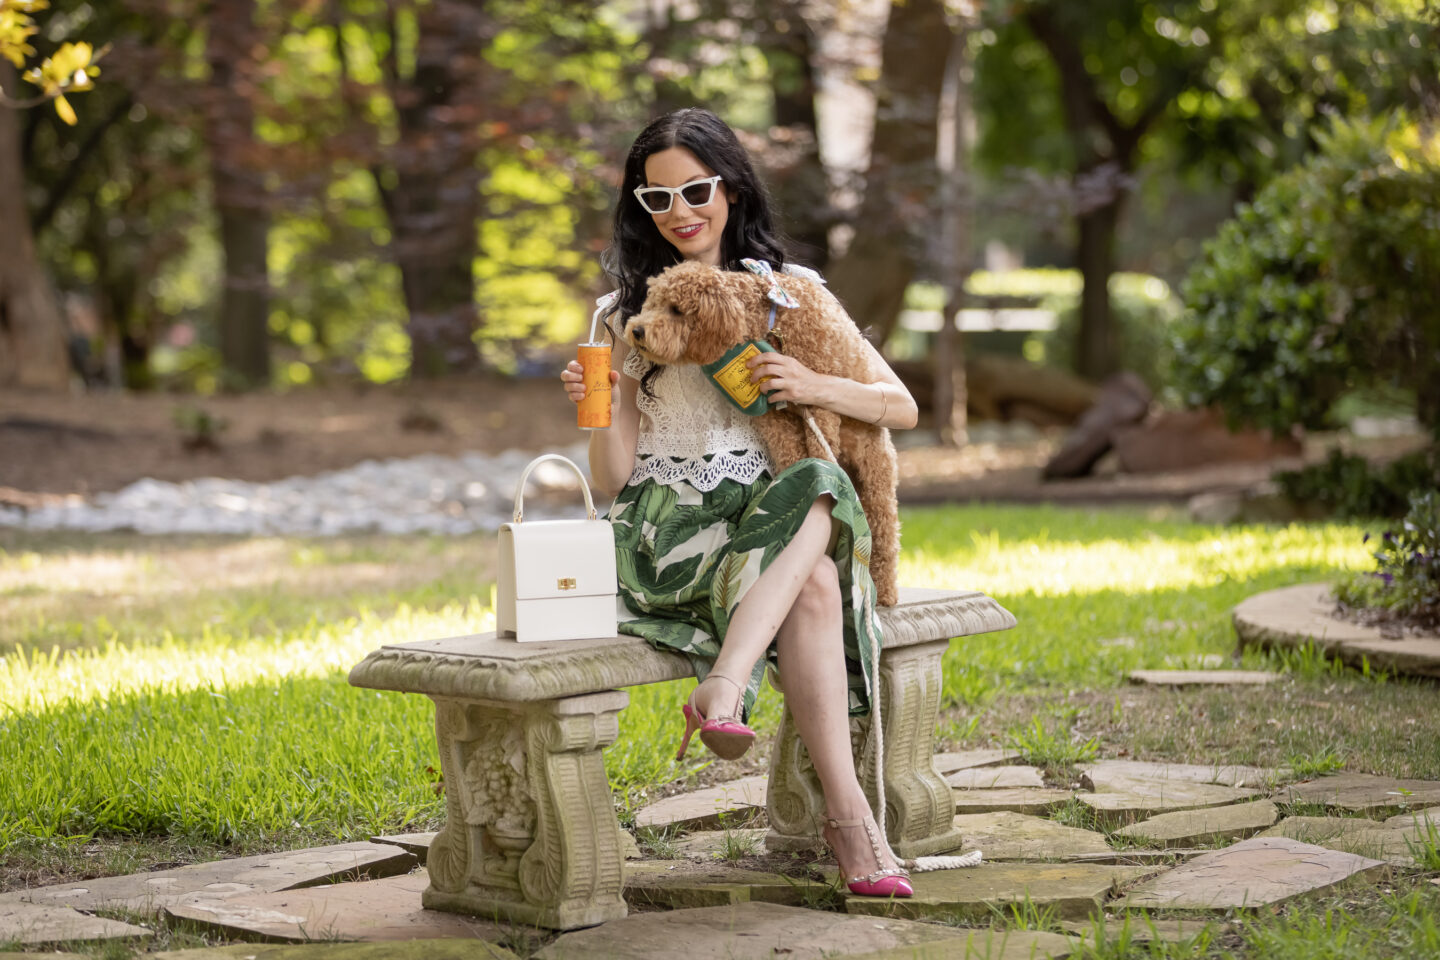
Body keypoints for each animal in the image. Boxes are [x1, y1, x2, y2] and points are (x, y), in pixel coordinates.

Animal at [622, 260, 898, 607]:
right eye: (653, 302)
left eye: (676, 309)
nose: (637, 330)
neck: (769, 320)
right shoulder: (774, 417)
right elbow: (793, 457)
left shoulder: (818, 401)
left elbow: (819, 452)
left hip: (875, 473)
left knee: (885, 532)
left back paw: (885, 590)